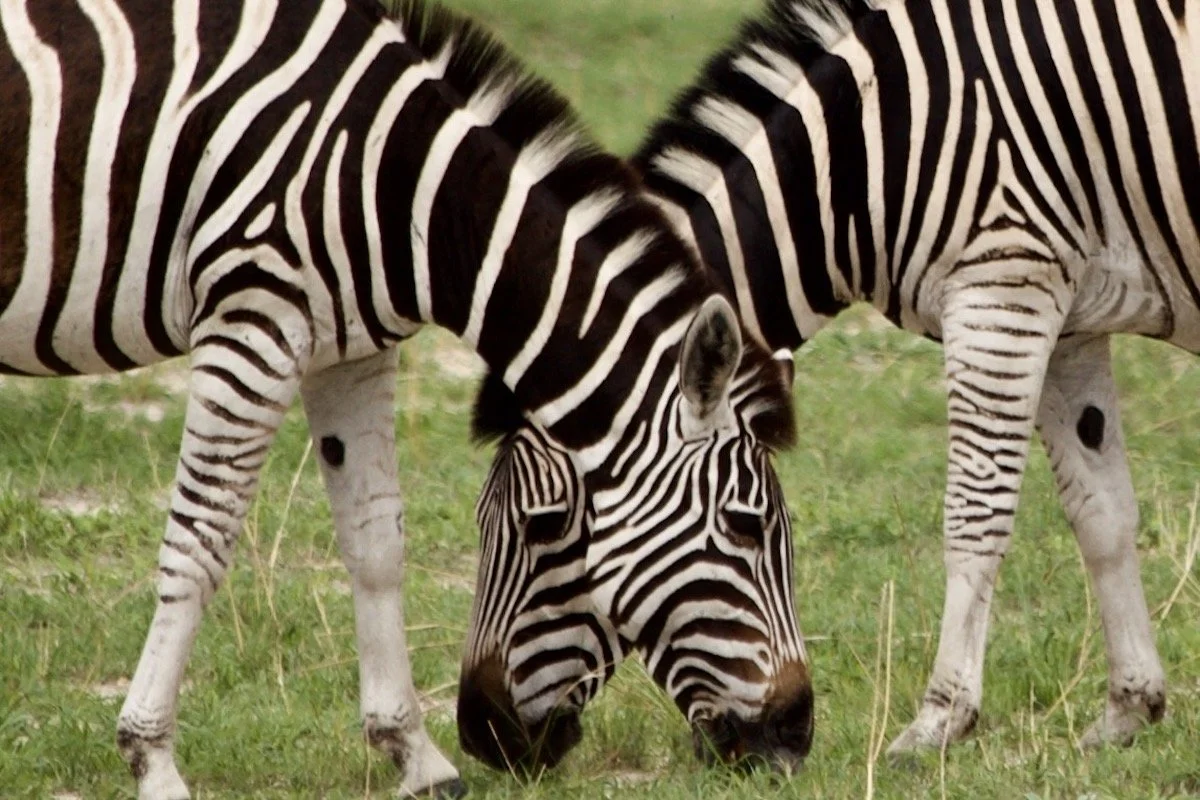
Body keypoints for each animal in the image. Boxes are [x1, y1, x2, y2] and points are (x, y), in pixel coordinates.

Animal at [0, 0, 802, 796]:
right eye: (746, 526)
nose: (793, 738)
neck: (400, 180)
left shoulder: (350, 350)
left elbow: (376, 541)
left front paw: (414, 753)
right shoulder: (252, 319)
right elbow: (199, 542)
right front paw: (153, 759)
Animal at [466, 0, 1200, 764]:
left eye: (545, 527)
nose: (482, 732)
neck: (865, 151)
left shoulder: (1001, 288)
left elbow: (974, 515)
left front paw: (940, 719)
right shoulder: (1066, 321)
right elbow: (1101, 510)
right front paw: (1129, 706)